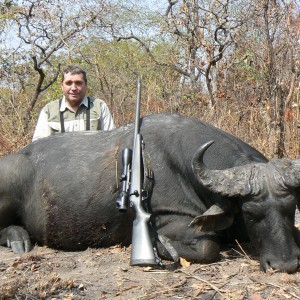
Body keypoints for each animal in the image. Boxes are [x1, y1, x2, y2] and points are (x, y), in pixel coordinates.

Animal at [0, 113, 298, 274]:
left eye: (291, 209)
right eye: (250, 213)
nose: (285, 265)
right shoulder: (171, 220)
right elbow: (208, 246)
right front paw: (160, 247)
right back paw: (17, 239)